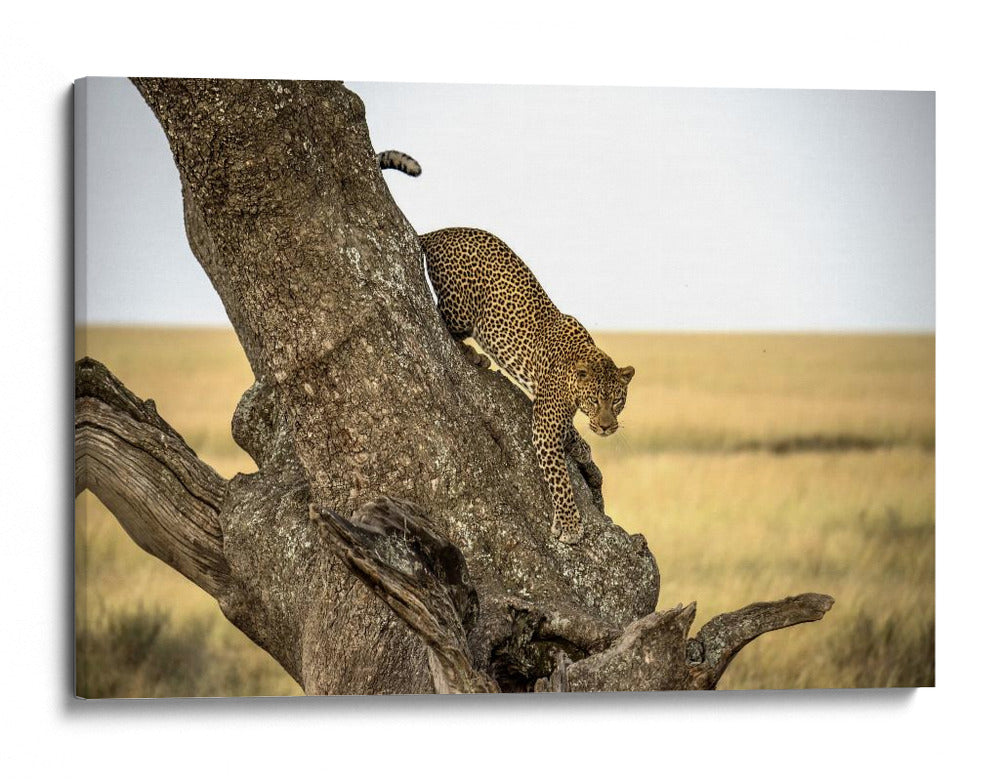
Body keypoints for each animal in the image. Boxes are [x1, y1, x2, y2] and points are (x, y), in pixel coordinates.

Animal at [418, 227, 635, 545]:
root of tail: (438, 233)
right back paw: (474, 355)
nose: (607, 427)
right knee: (444, 323)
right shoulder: (545, 423)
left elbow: (570, 431)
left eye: (617, 401)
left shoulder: (547, 407)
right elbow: (560, 479)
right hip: (461, 308)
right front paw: (570, 525)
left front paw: (582, 448)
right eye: (596, 401)